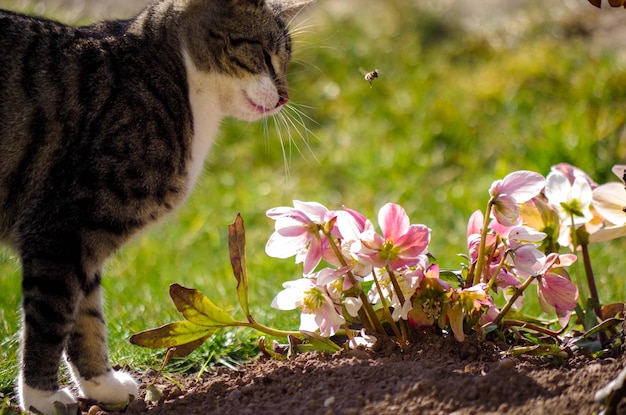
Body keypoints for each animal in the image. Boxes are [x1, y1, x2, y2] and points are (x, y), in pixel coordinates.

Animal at [0, 0, 312, 412]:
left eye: (286, 59)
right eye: (263, 54)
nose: (284, 97)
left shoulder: (82, 241)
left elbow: (86, 317)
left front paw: (102, 386)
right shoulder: (61, 230)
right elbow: (51, 317)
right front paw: (42, 397)